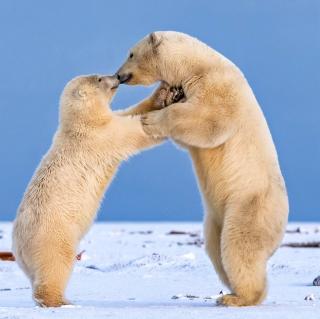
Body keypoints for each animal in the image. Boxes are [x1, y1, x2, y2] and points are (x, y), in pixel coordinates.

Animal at [12, 75, 174, 308]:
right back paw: (61, 301)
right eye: (99, 78)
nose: (117, 77)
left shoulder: (104, 124)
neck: (79, 124)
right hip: (53, 235)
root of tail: (18, 247)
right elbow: (134, 131)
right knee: (56, 265)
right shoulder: (100, 137)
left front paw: (162, 94)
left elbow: (130, 112)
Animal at [116, 31, 288, 308]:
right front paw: (165, 95)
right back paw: (229, 290)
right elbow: (188, 137)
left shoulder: (218, 87)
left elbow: (208, 120)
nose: (119, 75)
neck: (198, 65)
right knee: (216, 249)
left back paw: (237, 297)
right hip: (215, 218)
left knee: (239, 246)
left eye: (131, 54)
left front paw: (152, 119)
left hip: (249, 205)